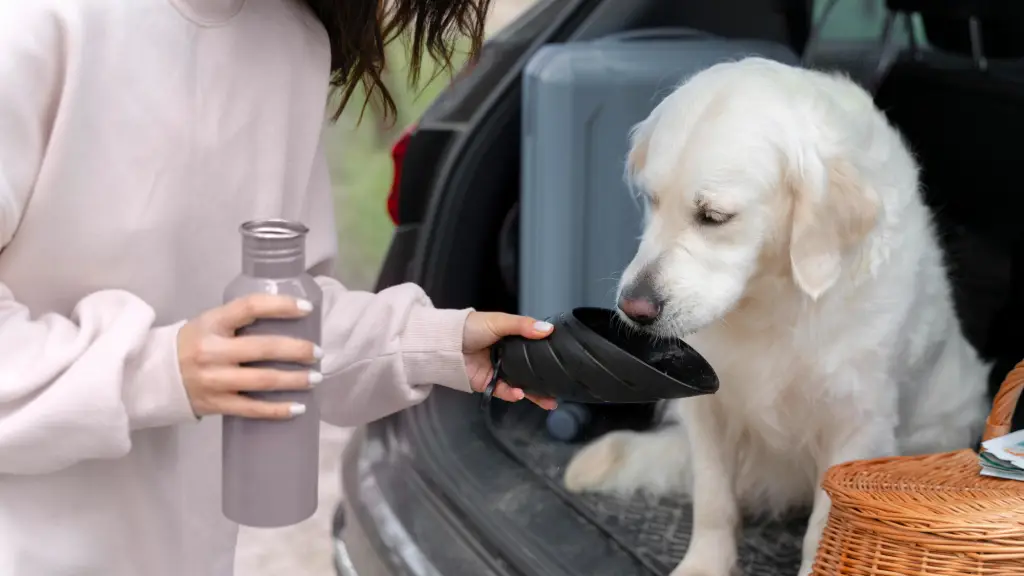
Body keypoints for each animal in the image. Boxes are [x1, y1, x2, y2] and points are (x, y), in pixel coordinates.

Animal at [561, 59, 991, 573]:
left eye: (714, 217)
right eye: (653, 200)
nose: (633, 307)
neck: (773, 295)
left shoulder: (856, 423)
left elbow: (823, 529)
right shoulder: (707, 406)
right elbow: (713, 499)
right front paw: (705, 563)